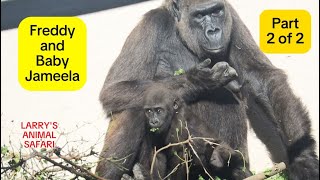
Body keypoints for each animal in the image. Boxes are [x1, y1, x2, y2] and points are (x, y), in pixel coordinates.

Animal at [123, 62, 252, 180]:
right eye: (149, 111)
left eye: (159, 111)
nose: (153, 121)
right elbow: (158, 155)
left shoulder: (177, 126)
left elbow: (180, 156)